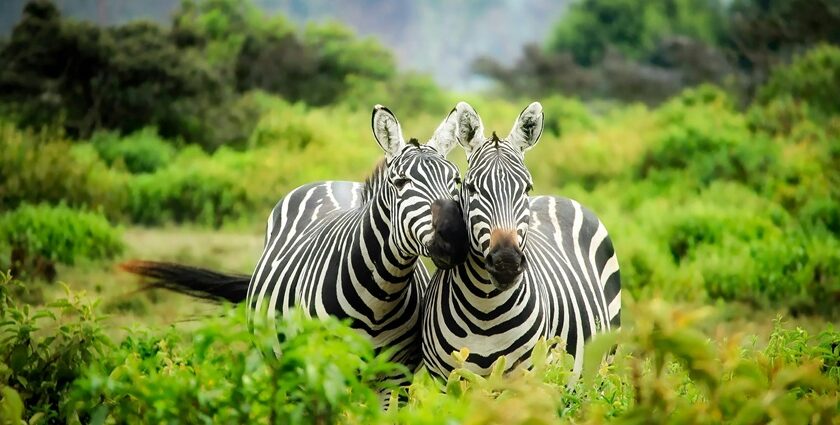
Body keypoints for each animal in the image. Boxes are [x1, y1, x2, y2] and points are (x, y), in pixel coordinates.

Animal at [122, 105, 470, 374]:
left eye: (456, 180)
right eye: (400, 183)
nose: (454, 237)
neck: (381, 296)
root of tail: (332, 181)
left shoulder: (394, 376)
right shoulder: (324, 366)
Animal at [420, 102, 624, 378]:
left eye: (526, 188)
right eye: (471, 188)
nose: (506, 263)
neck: (485, 310)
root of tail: (557, 197)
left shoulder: (526, 376)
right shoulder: (447, 379)